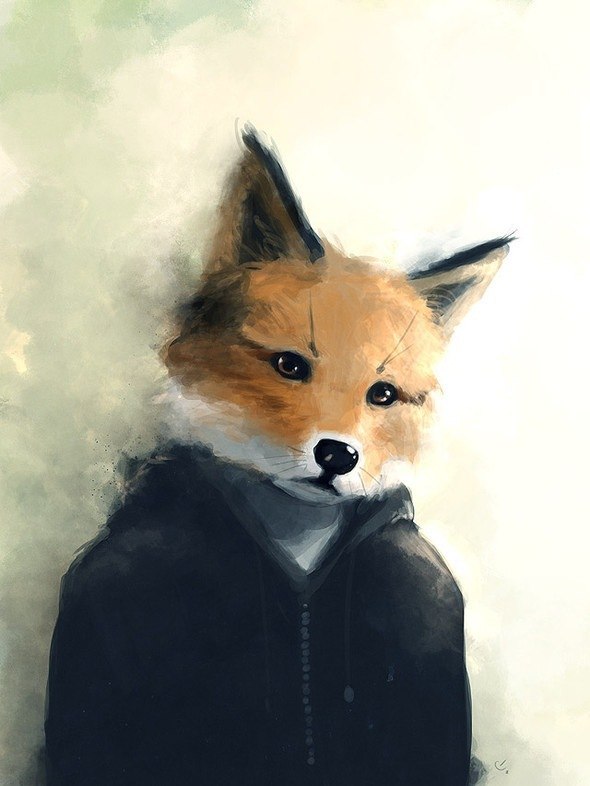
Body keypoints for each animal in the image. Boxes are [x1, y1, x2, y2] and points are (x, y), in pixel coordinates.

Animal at [44, 128, 512, 786]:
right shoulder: (103, 600)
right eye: (290, 365)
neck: (301, 567)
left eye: (382, 394)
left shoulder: (430, 611)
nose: (337, 455)